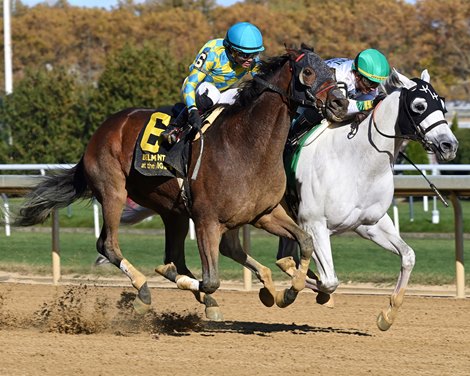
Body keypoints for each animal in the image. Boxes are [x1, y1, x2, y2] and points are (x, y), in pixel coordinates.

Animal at [14, 47, 348, 318]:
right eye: (307, 71)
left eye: (331, 71)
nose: (340, 103)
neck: (247, 144)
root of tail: (102, 131)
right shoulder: (206, 220)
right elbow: (210, 280)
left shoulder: (264, 214)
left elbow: (305, 241)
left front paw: (289, 291)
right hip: (113, 192)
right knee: (108, 244)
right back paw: (144, 291)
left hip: (171, 211)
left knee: (176, 256)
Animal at [276, 69, 458, 330]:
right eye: (419, 105)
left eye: (442, 105)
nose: (449, 145)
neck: (356, 162)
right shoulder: (314, 223)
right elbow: (329, 281)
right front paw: (289, 289)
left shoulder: (369, 224)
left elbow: (408, 256)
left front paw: (388, 315)